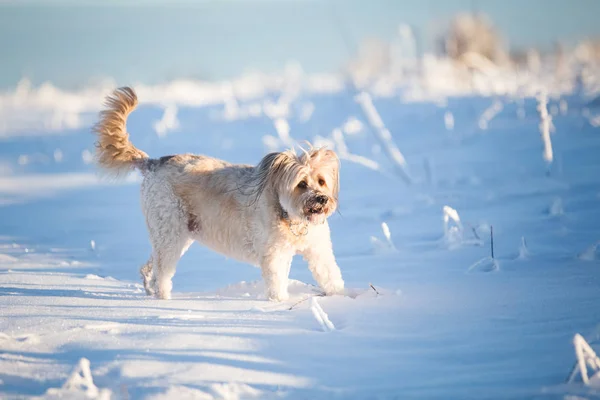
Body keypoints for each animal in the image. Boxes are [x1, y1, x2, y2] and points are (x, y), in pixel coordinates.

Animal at [94, 86, 346, 300]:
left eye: (321, 181)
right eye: (301, 184)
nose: (321, 199)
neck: (293, 218)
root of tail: (153, 162)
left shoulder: (318, 249)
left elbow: (330, 275)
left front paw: (341, 297)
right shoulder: (274, 254)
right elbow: (277, 285)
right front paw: (280, 305)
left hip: (175, 234)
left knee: (150, 267)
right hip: (170, 232)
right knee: (163, 271)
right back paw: (165, 300)